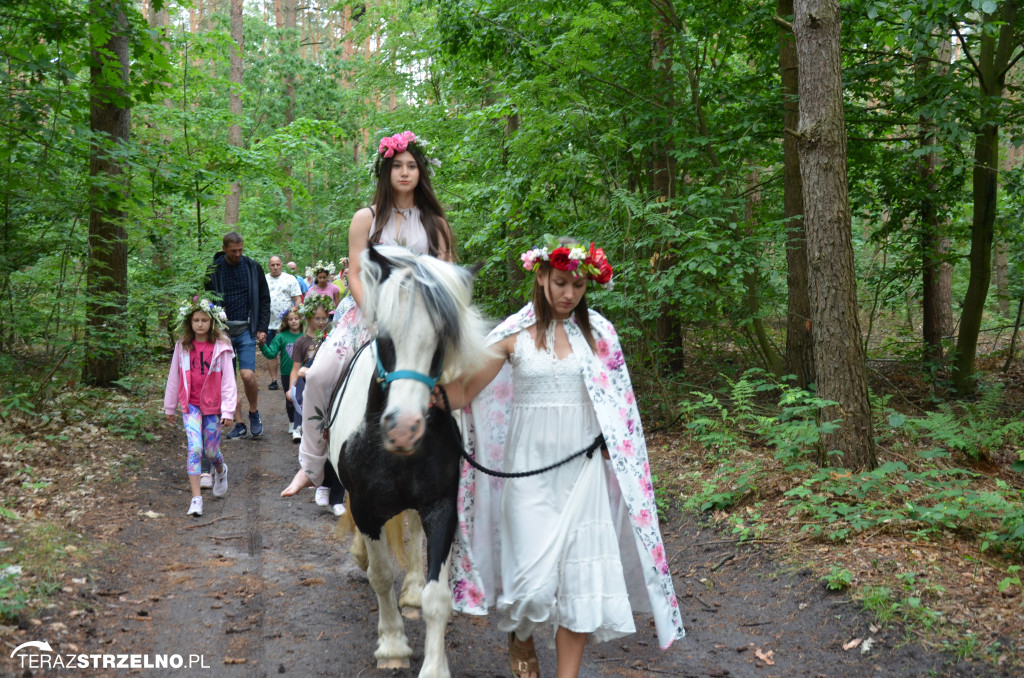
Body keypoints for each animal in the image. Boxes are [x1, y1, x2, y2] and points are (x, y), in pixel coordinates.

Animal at [323, 245, 491, 678]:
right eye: (385, 337)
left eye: (442, 339)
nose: (404, 428)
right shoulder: (367, 508)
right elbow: (381, 576)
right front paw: (393, 646)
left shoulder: (442, 505)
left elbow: (437, 596)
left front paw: (433, 665)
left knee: (413, 530)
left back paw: (412, 589)